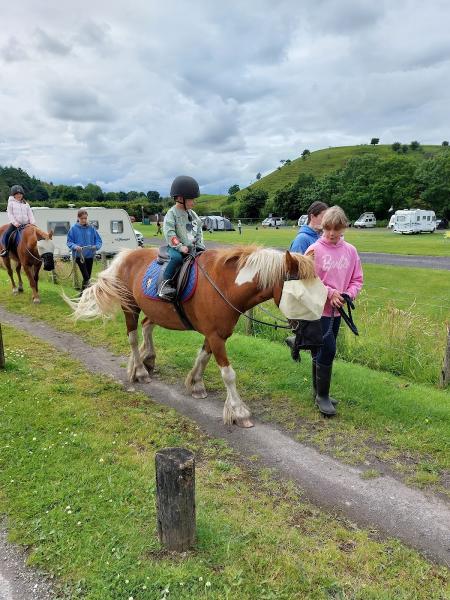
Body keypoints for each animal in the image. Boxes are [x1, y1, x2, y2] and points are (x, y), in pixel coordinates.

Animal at [67, 245, 316, 426]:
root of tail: (126, 255)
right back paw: (140, 371)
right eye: (299, 295)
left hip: (154, 311)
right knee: (133, 338)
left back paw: (149, 359)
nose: (308, 329)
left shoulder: (215, 334)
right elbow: (228, 374)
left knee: (147, 327)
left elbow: (203, 357)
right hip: (130, 308)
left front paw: (195, 384)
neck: (225, 285)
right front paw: (239, 411)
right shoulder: (216, 337)